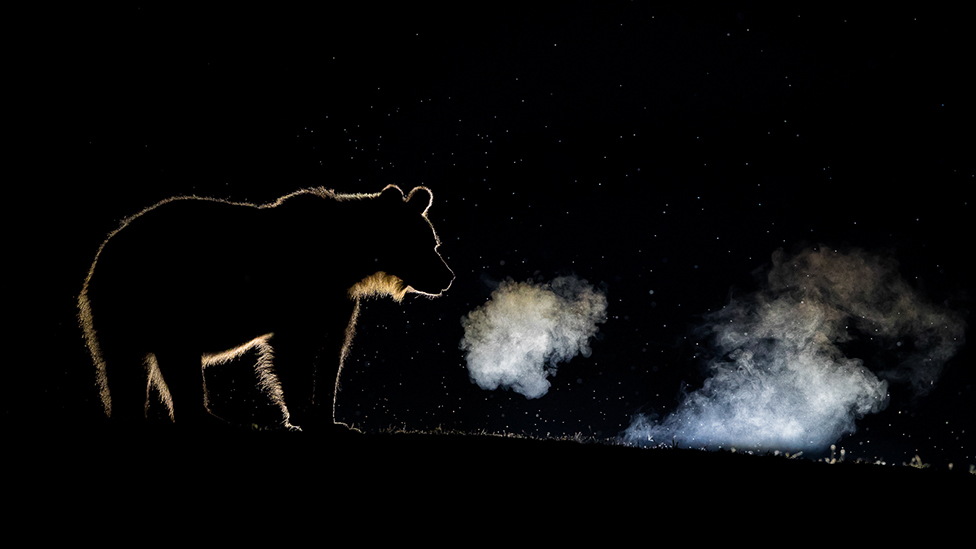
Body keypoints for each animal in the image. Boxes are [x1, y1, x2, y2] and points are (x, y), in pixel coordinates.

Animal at [79, 184, 454, 432]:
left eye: (434, 243)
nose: (447, 277)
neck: (346, 258)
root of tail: (105, 251)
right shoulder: (300, 295)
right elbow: (294, 353)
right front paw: (304, 415)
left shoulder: (337, 300)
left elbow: (331, 353)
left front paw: (331, 419)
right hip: (156, 299)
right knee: (167, 363)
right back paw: (210, 419)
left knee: (133, 367)